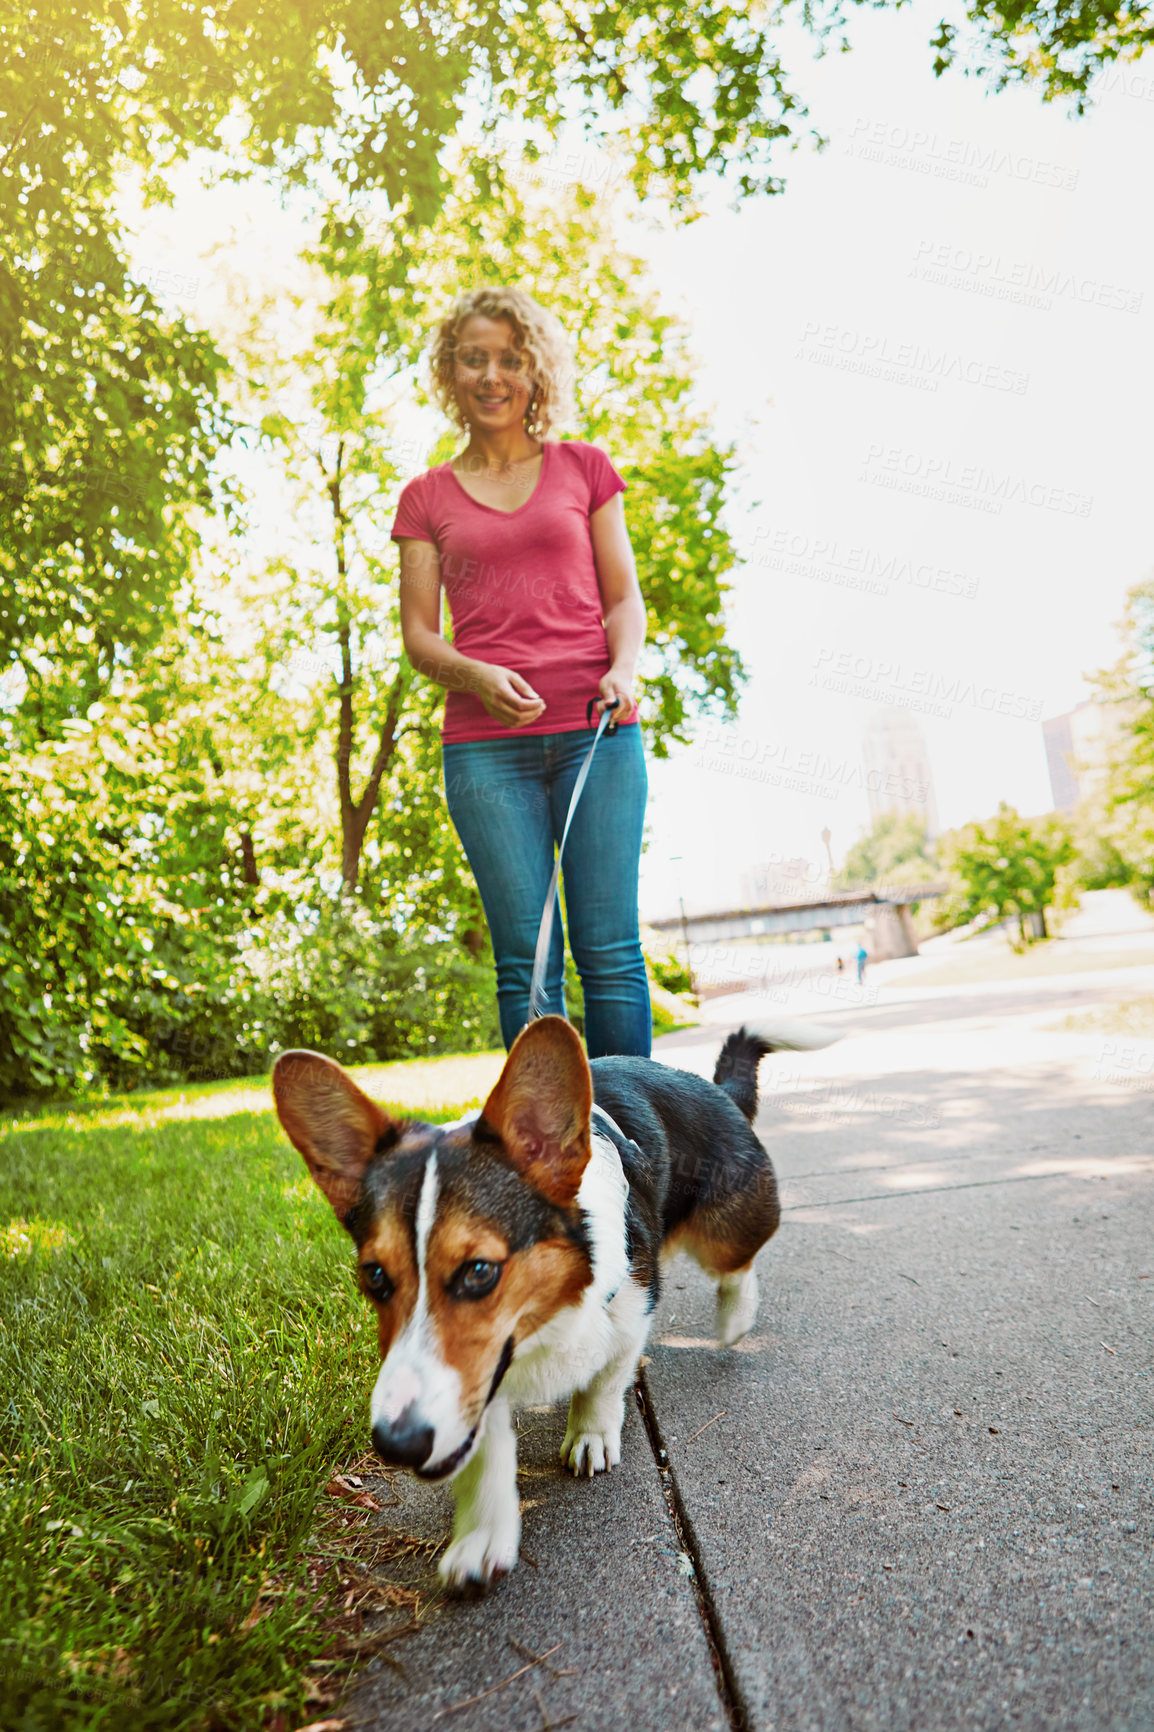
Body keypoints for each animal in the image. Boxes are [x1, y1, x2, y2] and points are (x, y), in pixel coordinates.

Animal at [278, 1018, 835, 1586]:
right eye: (374, 1276)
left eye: (479, 1271)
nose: (397, 1444)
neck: (543, 1322)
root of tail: (715, 1089)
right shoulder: (482, 1377)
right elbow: (486, 1453)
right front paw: (483, 1534)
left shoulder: (632, 1305)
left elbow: (604, 1381)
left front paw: (591, 1435)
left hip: (723, 1230)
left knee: (736, 1265)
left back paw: (734, 1319)